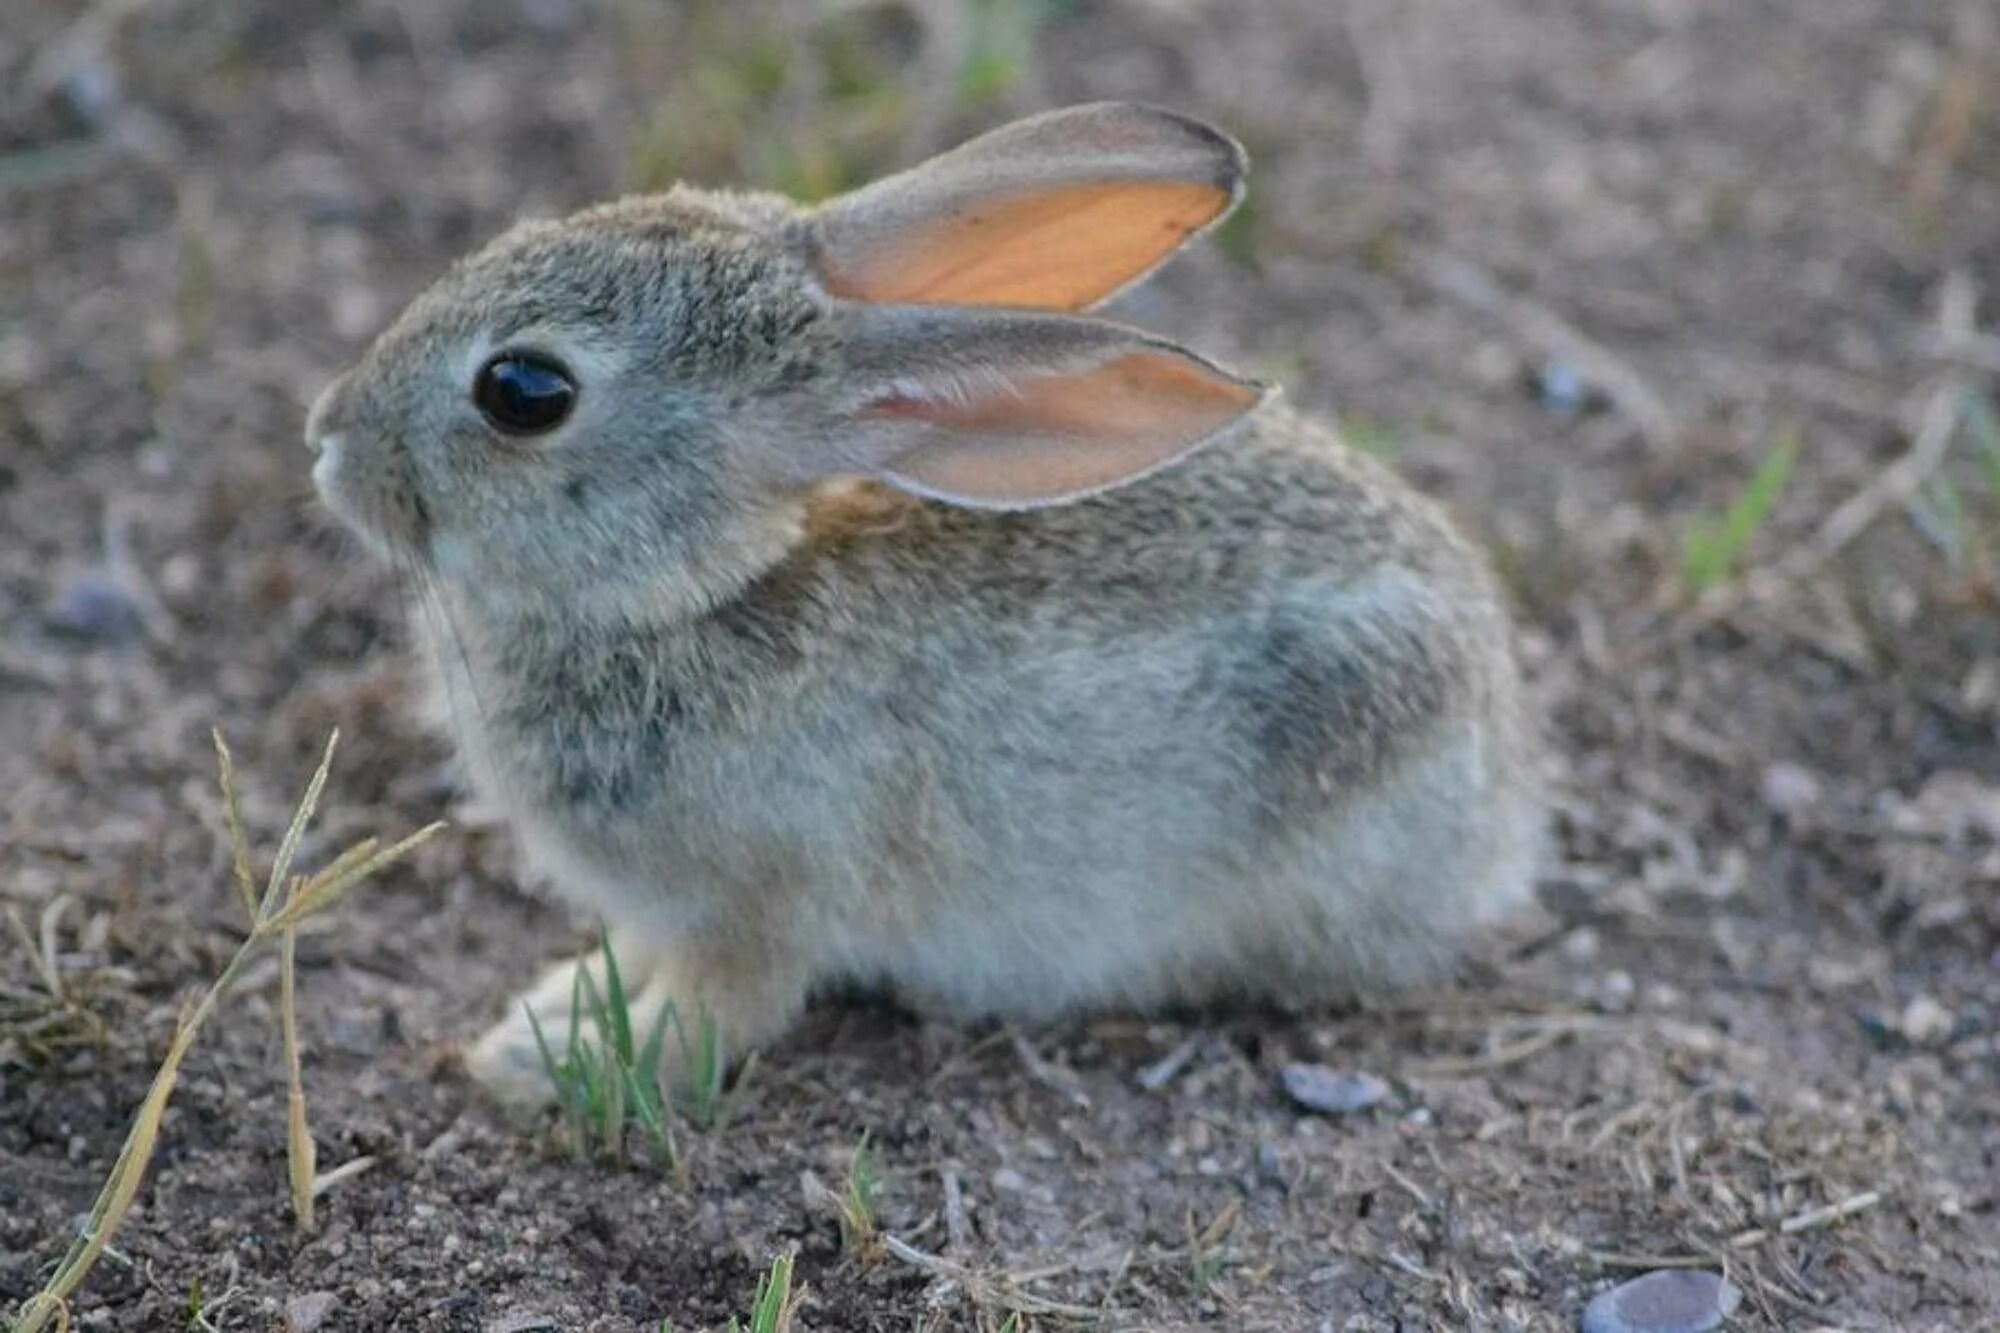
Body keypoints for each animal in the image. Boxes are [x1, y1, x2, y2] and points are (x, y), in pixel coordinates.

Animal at [304, 101, 1544, 1096]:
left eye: (523, 391)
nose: (327, 437)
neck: (688, 599)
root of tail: (1502, 796)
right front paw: (552, 1004)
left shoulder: (752, 913)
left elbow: (715, 1017)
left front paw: (547, 1063)